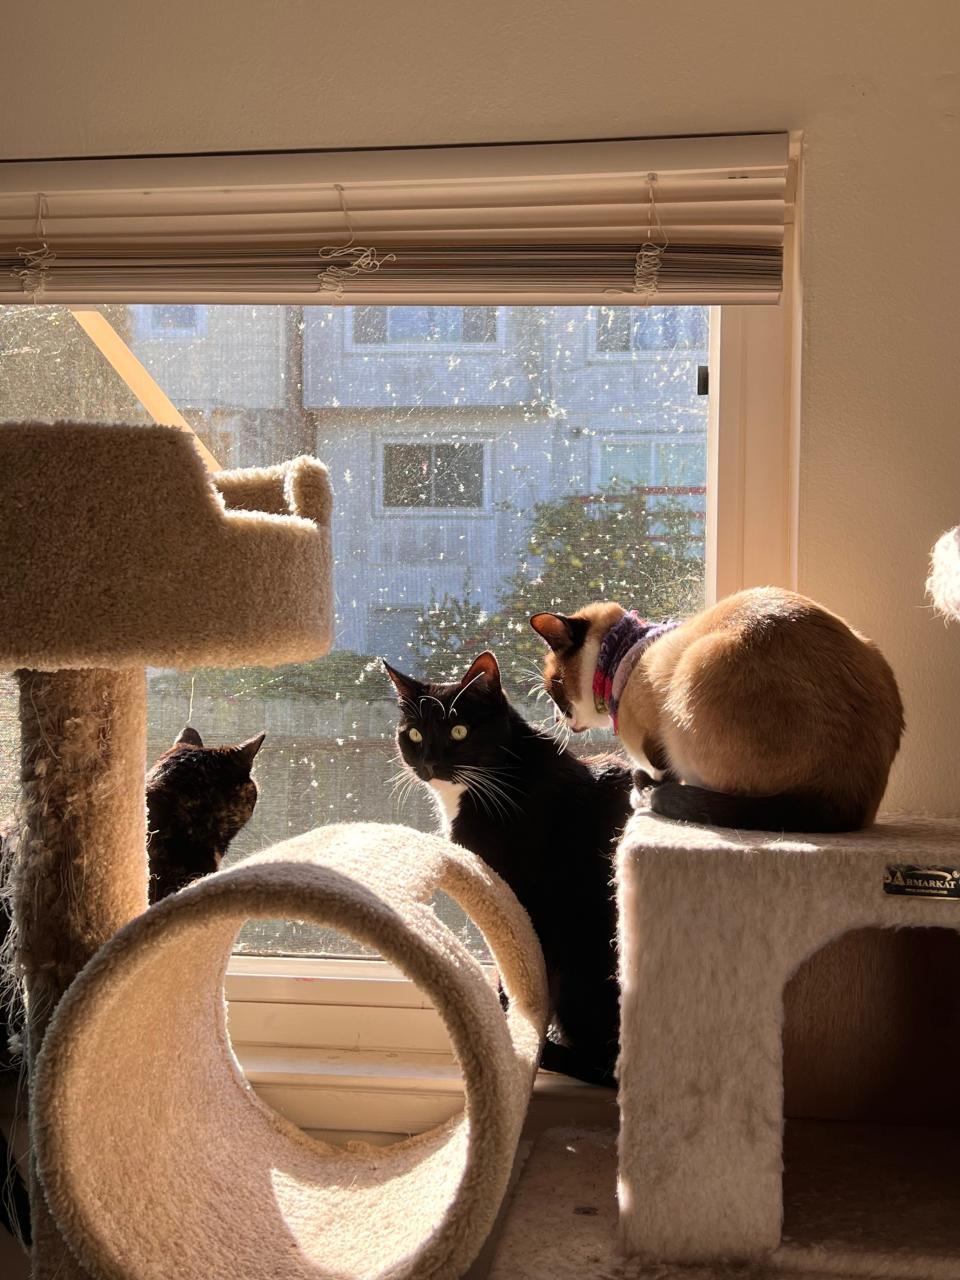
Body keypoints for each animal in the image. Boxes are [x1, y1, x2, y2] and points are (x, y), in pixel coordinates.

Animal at [386, 650, 634, 1080]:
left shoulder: (522, 897)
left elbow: (510, 967)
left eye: (459, 731)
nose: (429, 763)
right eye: (414, 735)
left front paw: (509, 1033)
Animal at [529, 586, 906, 834]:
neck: (622, 654)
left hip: (696, 671)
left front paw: (646, 790)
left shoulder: (654, 743)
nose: (557, 718)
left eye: (554, 689)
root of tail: (845, 799)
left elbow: (660, 774)